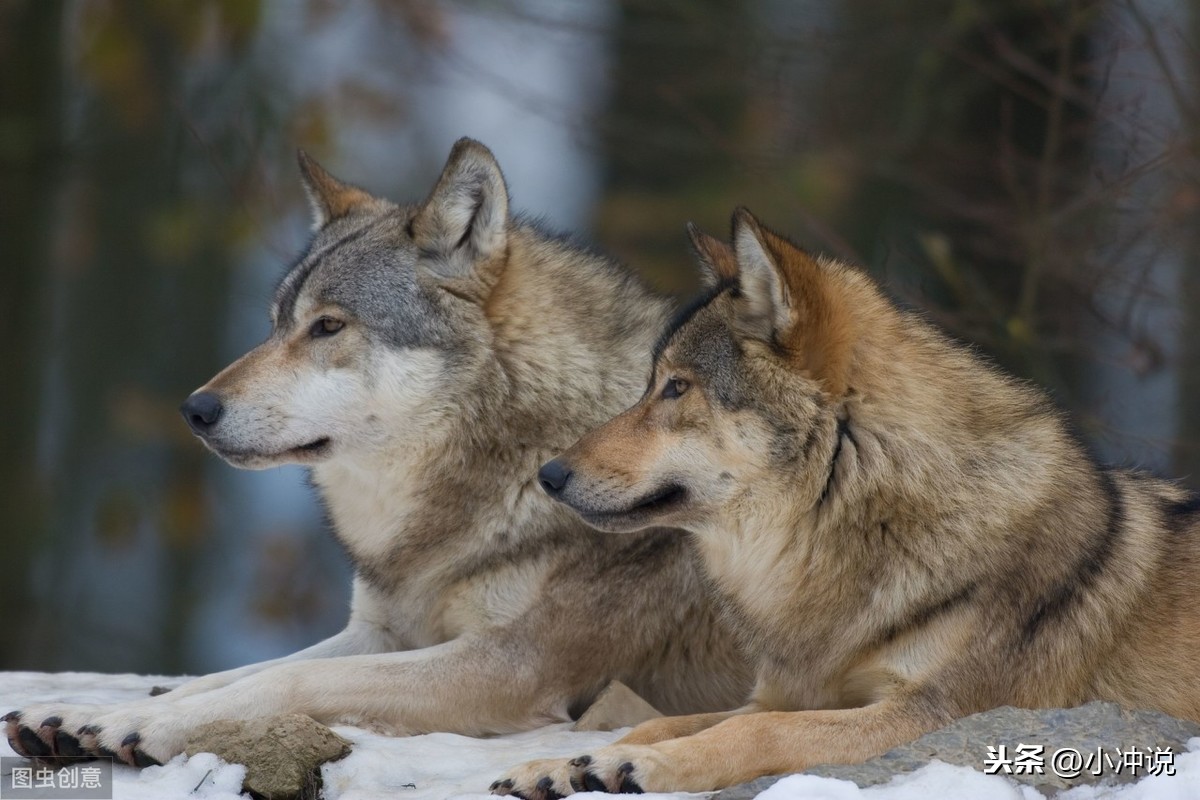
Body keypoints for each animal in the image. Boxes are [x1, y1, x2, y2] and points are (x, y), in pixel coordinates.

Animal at [4, 139, 748, 767]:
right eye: (274, 324)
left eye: (328, 326)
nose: (195, 410)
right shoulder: (382, 632)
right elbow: (233, 675)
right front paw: (80, 715)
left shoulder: (510, 664)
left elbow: (294, 679)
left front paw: (142, 725)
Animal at [489, 206, 1200, 796]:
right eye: (652, 384)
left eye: (676, 388)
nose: (549, 474)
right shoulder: (785, 692)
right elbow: (660, 723)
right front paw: (562, 765)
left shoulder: (933, 714)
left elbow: (751, 733)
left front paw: (642, 767)